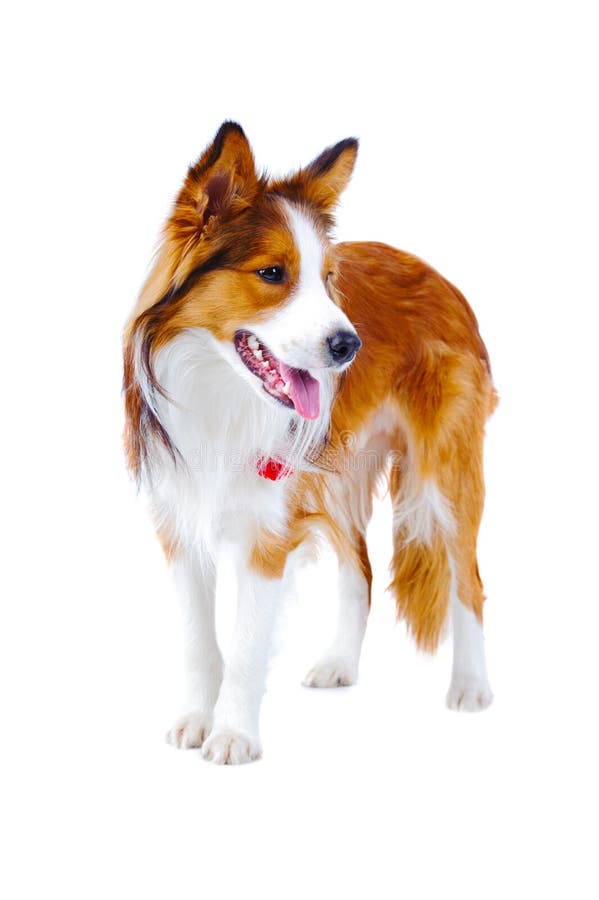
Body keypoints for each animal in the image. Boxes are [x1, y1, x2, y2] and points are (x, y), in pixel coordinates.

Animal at [122, 123, 496, 764]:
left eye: (327, 281)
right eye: (272, 273)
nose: (350, 345)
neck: (221, 391)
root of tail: (438, 275)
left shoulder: (267, 532)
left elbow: (247, 642)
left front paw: (232, 734)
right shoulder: (180, 518)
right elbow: (199, 638)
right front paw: (198, 719)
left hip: (444, 472)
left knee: (468, 577)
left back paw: (471, 686)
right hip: (335, 476)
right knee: (361, 570)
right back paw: (340, 662)